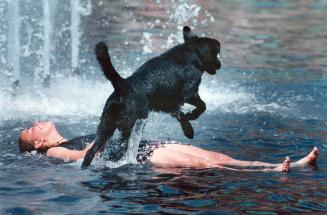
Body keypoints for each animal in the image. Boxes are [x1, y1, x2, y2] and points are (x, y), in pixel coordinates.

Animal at [81, 26, 222, 167]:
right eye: (217, 53)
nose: (220, 65)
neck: (191, 52)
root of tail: (123, 86)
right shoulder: (190, 92)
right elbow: (202, 106)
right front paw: (192, 116)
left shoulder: (167, 104)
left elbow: (180, 114)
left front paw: (188, 129)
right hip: (132, 124)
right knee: (121, 148)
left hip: (106, 125)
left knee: (91, 151)